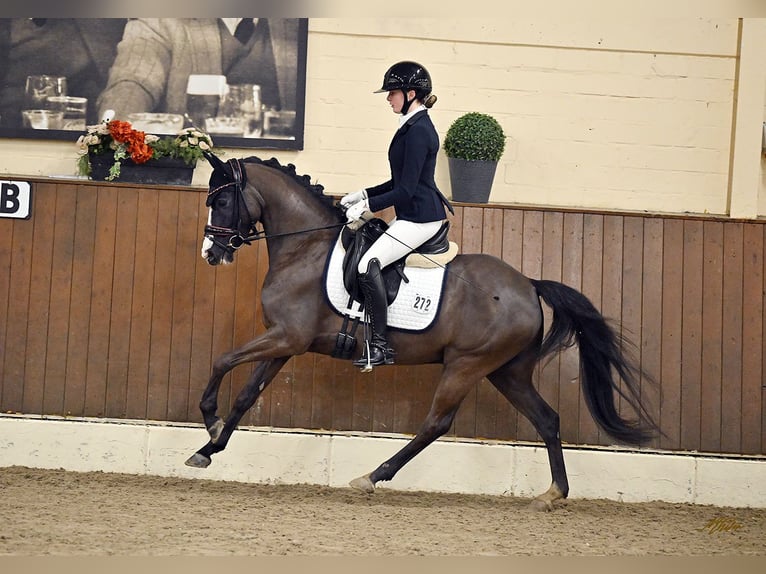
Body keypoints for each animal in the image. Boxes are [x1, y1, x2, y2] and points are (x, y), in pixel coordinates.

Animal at [188, 153, 660, 512]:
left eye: (223, 199)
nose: (211, 253)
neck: (306, 249)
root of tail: (528, 285)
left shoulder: (288, 337)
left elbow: (222, 359)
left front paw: (209, 421)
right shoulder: (285, 342)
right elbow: (246, 395)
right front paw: (209, 448)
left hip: (467, 365)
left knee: (437, 422)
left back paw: (373, 475)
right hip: (506, 371)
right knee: (547, 419)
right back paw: (552, 494)